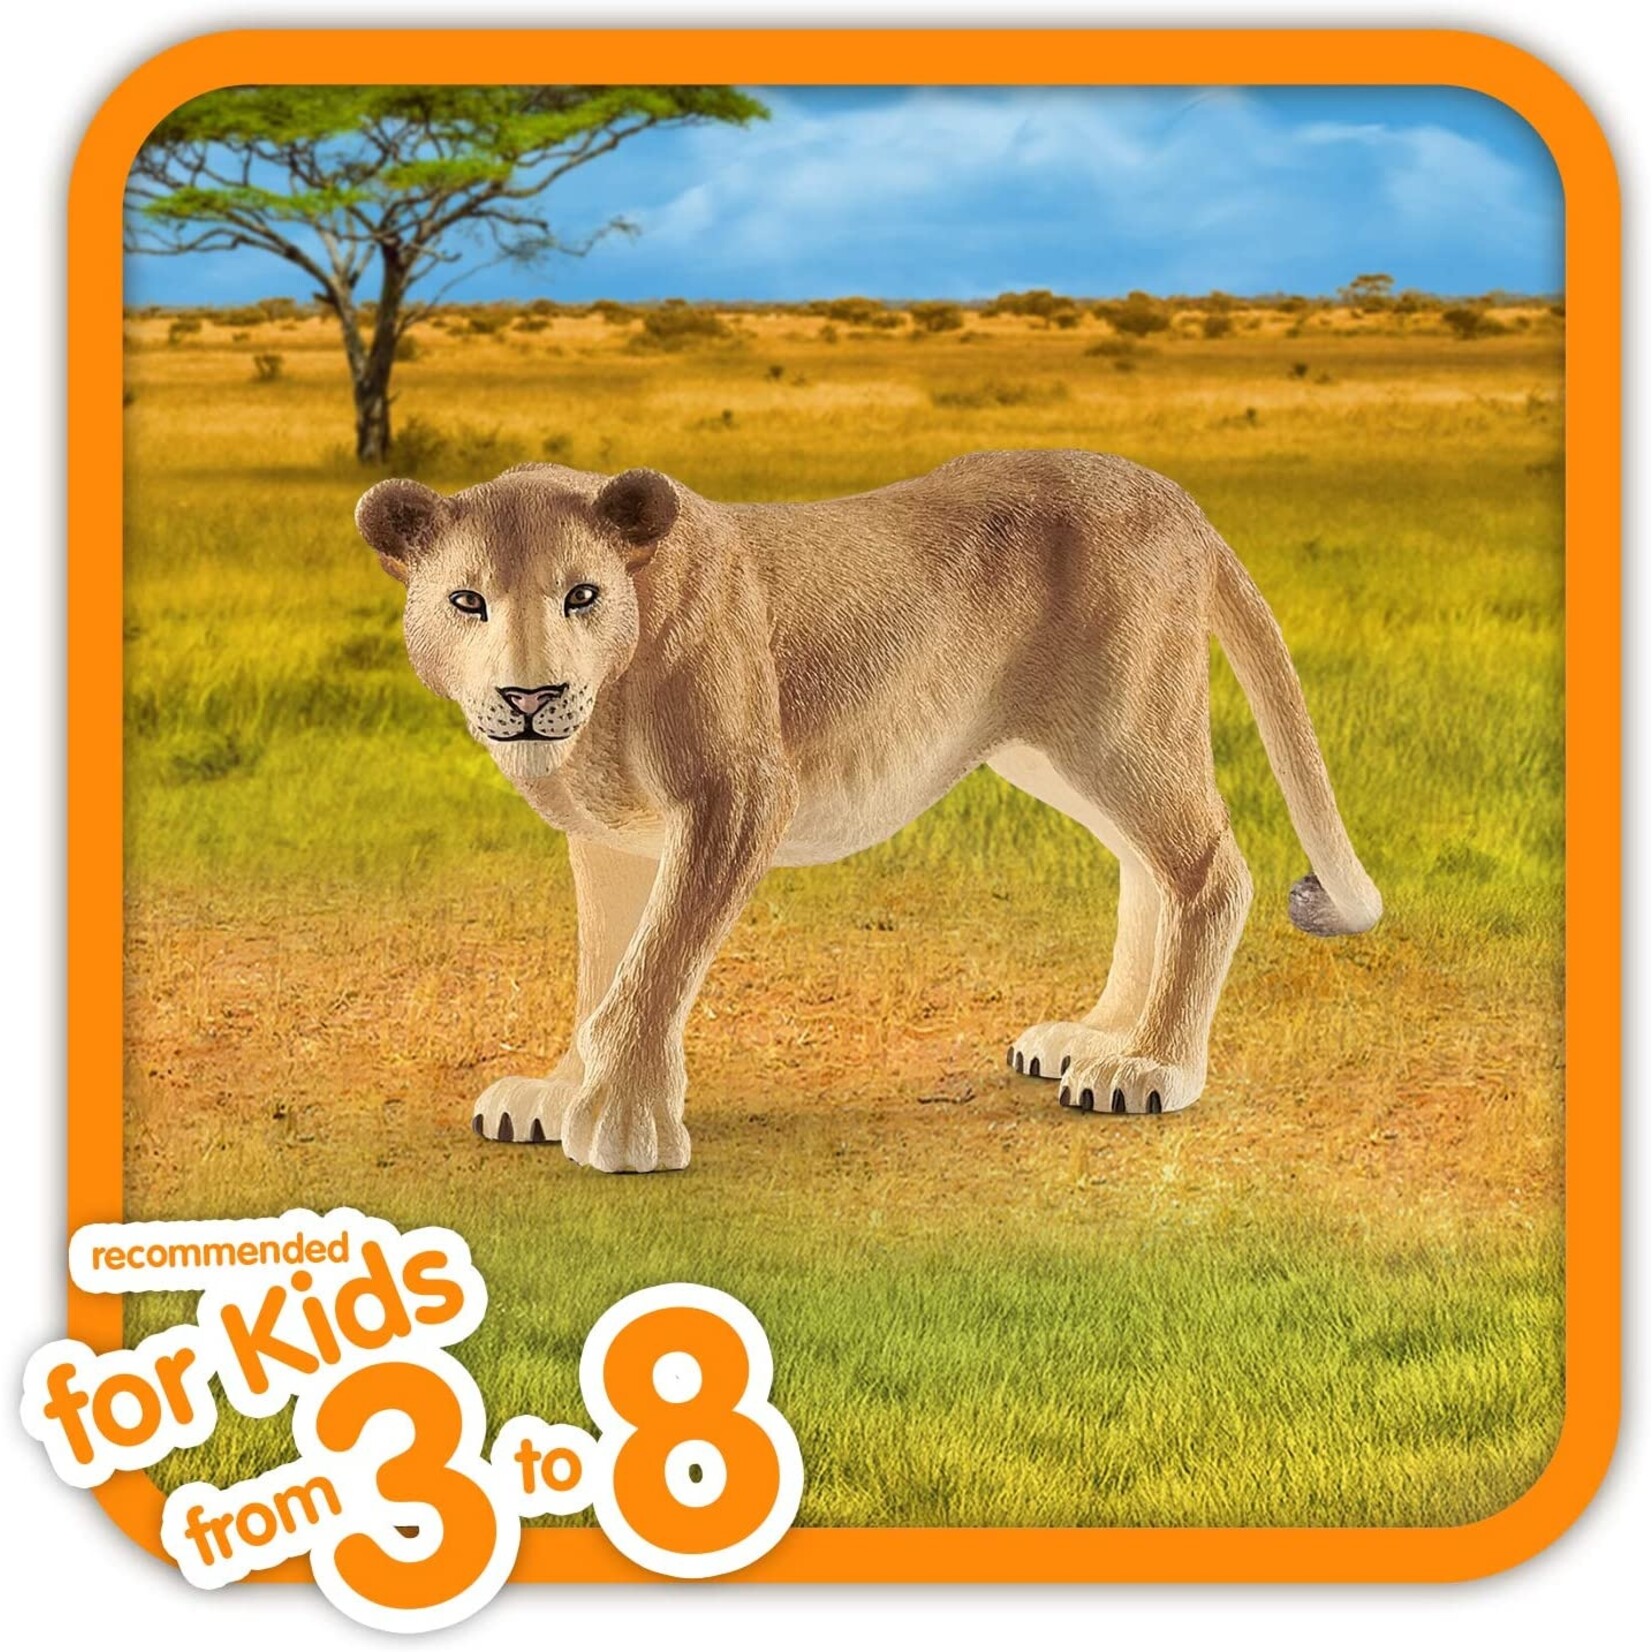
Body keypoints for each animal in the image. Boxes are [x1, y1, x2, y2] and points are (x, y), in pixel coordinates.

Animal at [355, 449, 1380, 1173]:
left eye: (582, 594)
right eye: (466, 601)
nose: (530, 696)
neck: (605, 697)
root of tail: (1177, 499)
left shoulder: (738, 798)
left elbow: (651, 969)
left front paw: (619, 1123)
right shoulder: (610, 840)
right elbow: (601, 971)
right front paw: (559, 1091)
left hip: (1123, 728)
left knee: (1209, 868)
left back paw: (1150, 1066)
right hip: (1055, 750)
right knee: (1145, 867)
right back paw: (1096, 1037)